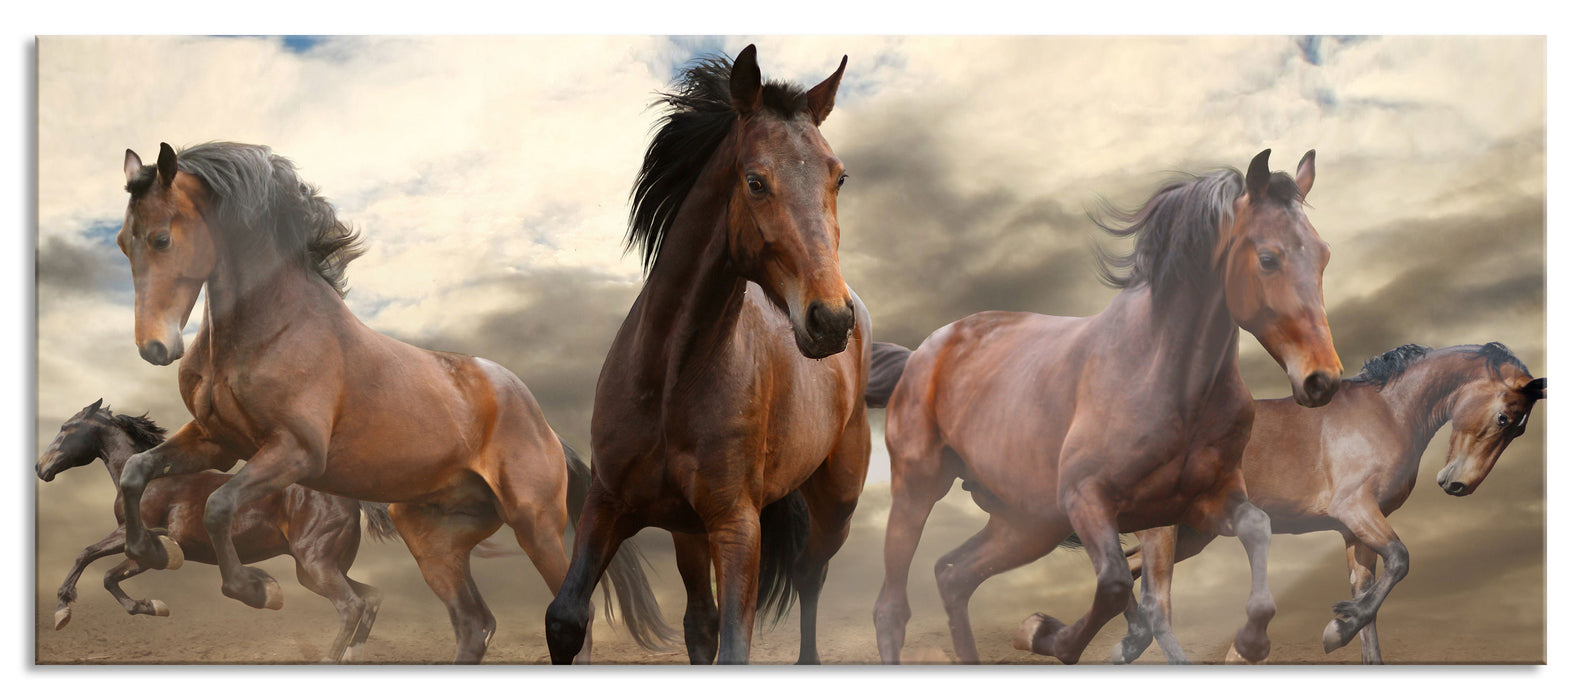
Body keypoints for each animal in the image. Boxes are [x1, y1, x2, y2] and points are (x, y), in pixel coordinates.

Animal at [36, 399, 396, 663]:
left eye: (66, 427)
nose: (41, 467)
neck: (150, 481)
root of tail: (348, 496)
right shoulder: (146, 549)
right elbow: (109, 576)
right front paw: (153, 606)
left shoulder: (135, 535)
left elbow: (88, 555)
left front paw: (62, 610)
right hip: (318, 569)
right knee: (371, 597)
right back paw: (352, 655)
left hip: (316, 564)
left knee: (350, 606)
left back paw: (329, 657)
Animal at [111, 140, 672, 663]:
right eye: (122, 242)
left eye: (162, 238)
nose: (155, 347)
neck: (274, 327)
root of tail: (548, 430)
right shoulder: (218, 443)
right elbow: (138, 472)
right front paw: (153, 551)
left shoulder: (295, 452)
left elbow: (218, 504)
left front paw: (257, 590)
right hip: (432, 537)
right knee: (474, 625)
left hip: (535, 523)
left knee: (576, 616)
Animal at [544, 45, 870, 665]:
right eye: (755, 181)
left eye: (839, 176)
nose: (830, 320)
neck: (671, 380)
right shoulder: (607, 502)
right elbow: (566, 619)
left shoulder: (736, 524)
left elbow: (737, 643)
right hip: (685, 530)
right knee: (700, 622)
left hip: (835, 506)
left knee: (810, 576)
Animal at [866, 150, 1343, 665]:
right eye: (1269, 258)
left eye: (1324, 255)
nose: (1322, 380)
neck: (1168, 381)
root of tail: (923, 352)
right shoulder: (1088, 499)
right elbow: (1115, 585)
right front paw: (1045, 633)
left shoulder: (1207, 502)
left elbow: (1257, 527)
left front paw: (1252, 642)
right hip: (919, 488)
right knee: (892, 608)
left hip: (1026, 524)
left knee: (954, 576)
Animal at [1112, 342, 1545, 664]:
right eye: (1505, 418)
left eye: (1518, 430)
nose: (1459, 484)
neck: (1388, 412)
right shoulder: (1356, 509)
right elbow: (1400, 559)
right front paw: (1337, 630)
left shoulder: (1355, 529)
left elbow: (1369, 592)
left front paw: (1348, 630)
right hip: (1164, 532)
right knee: (1157, 607)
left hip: (1189, 536)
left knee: (1125, 576)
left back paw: (1125, 646)